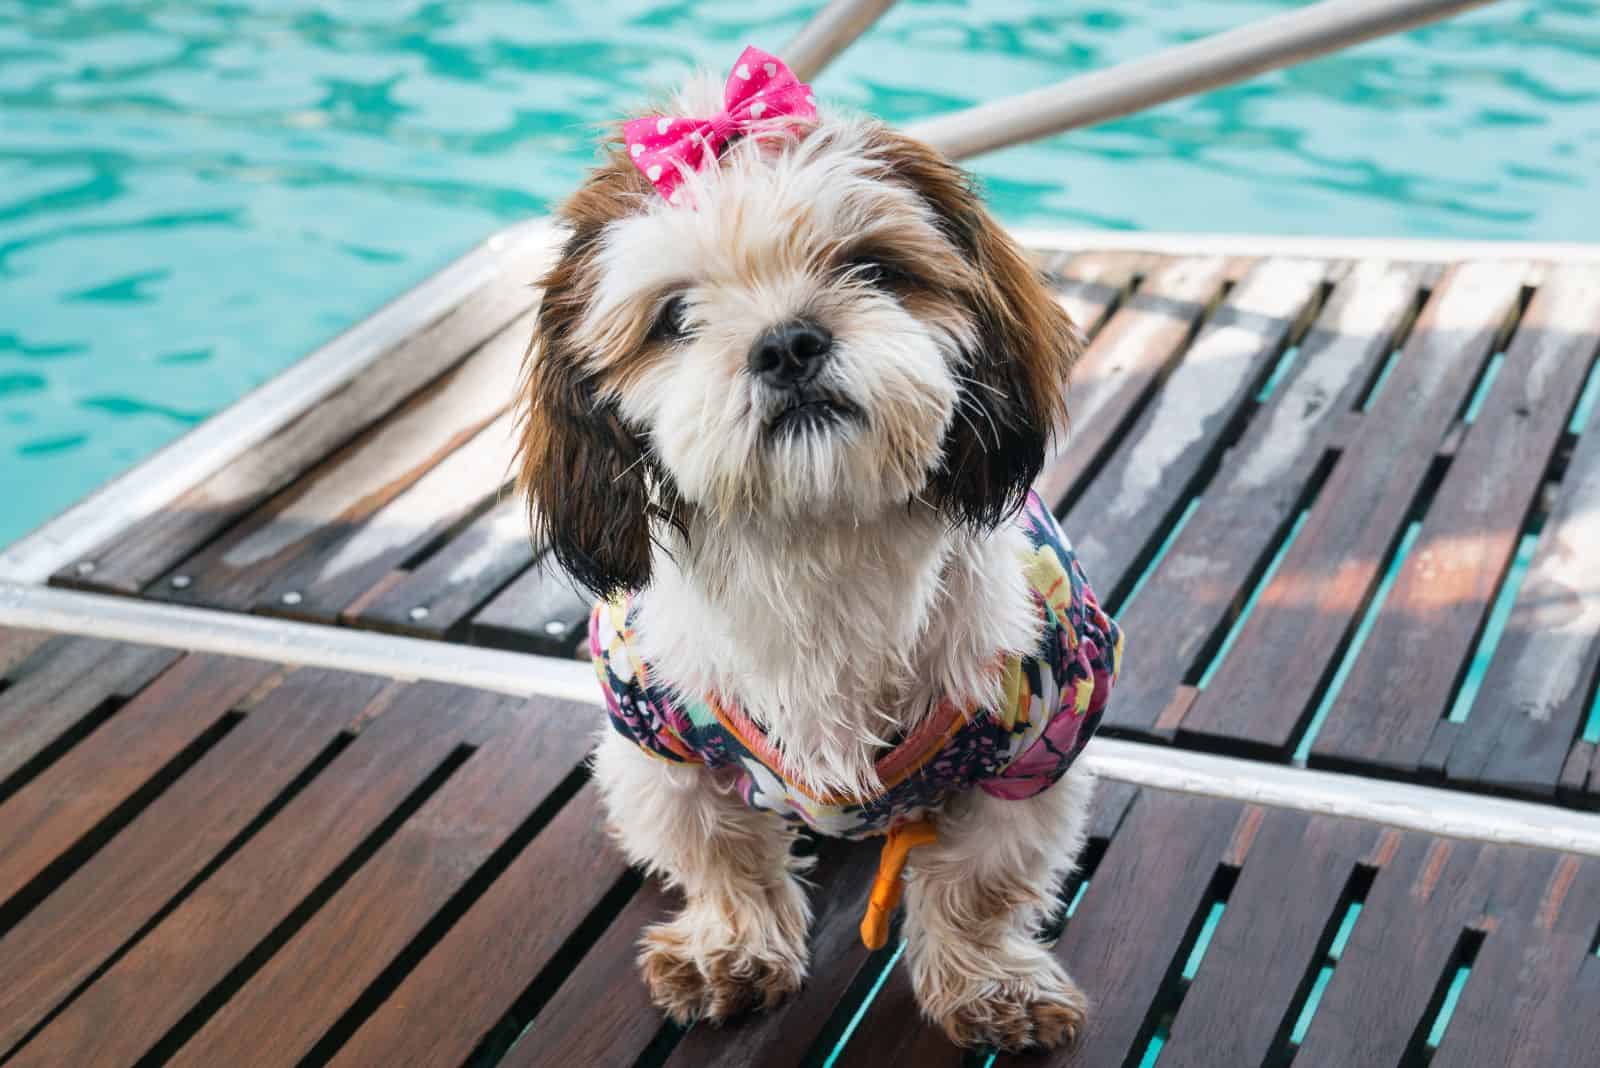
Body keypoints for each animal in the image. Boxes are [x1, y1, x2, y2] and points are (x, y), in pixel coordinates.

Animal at [518, 47, 1120, 1048]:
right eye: (673, 317)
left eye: (873, 268)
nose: (788, 343)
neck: (817, 538)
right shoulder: (658, 741)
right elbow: (719, 852)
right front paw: (730, 947)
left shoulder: (1040, 742)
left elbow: (982, 881)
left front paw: (989, 980)